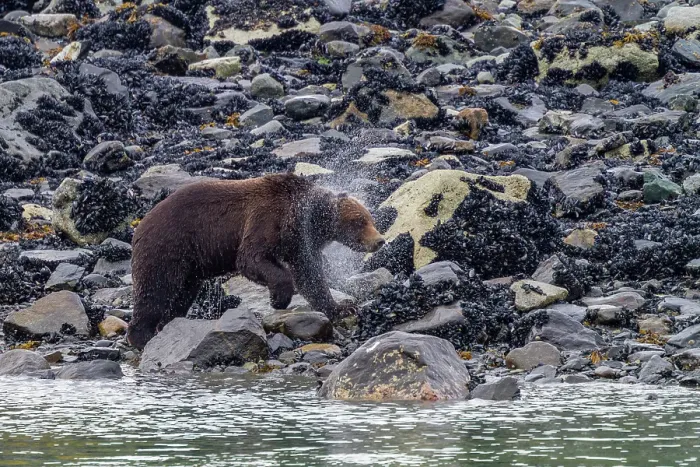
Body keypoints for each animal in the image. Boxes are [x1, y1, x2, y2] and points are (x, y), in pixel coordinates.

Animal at [126, 173, 385, 350]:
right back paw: (142, 337)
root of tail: (140, 225)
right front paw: (279, 298)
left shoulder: (297, 242)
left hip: (190, 267)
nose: (380, 240)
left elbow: (309, 275)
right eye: (360, 221)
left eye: (370, 218)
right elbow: (251, 258)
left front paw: (342, 307)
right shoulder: (266, 217)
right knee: (155, 290)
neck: (300, 216)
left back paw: (168, 325)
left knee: (181, 295)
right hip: (168, 248)